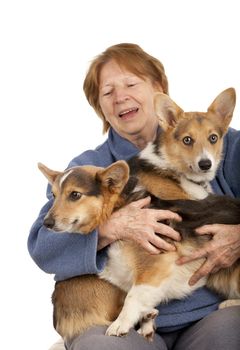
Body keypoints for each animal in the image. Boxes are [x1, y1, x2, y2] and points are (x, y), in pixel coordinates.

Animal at [38, 88, 239, 342]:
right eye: (53, 196)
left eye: (74, 195)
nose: (46, 222)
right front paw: (140, 320)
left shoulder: (155, 266)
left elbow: (134, 296)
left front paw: (120, 325)